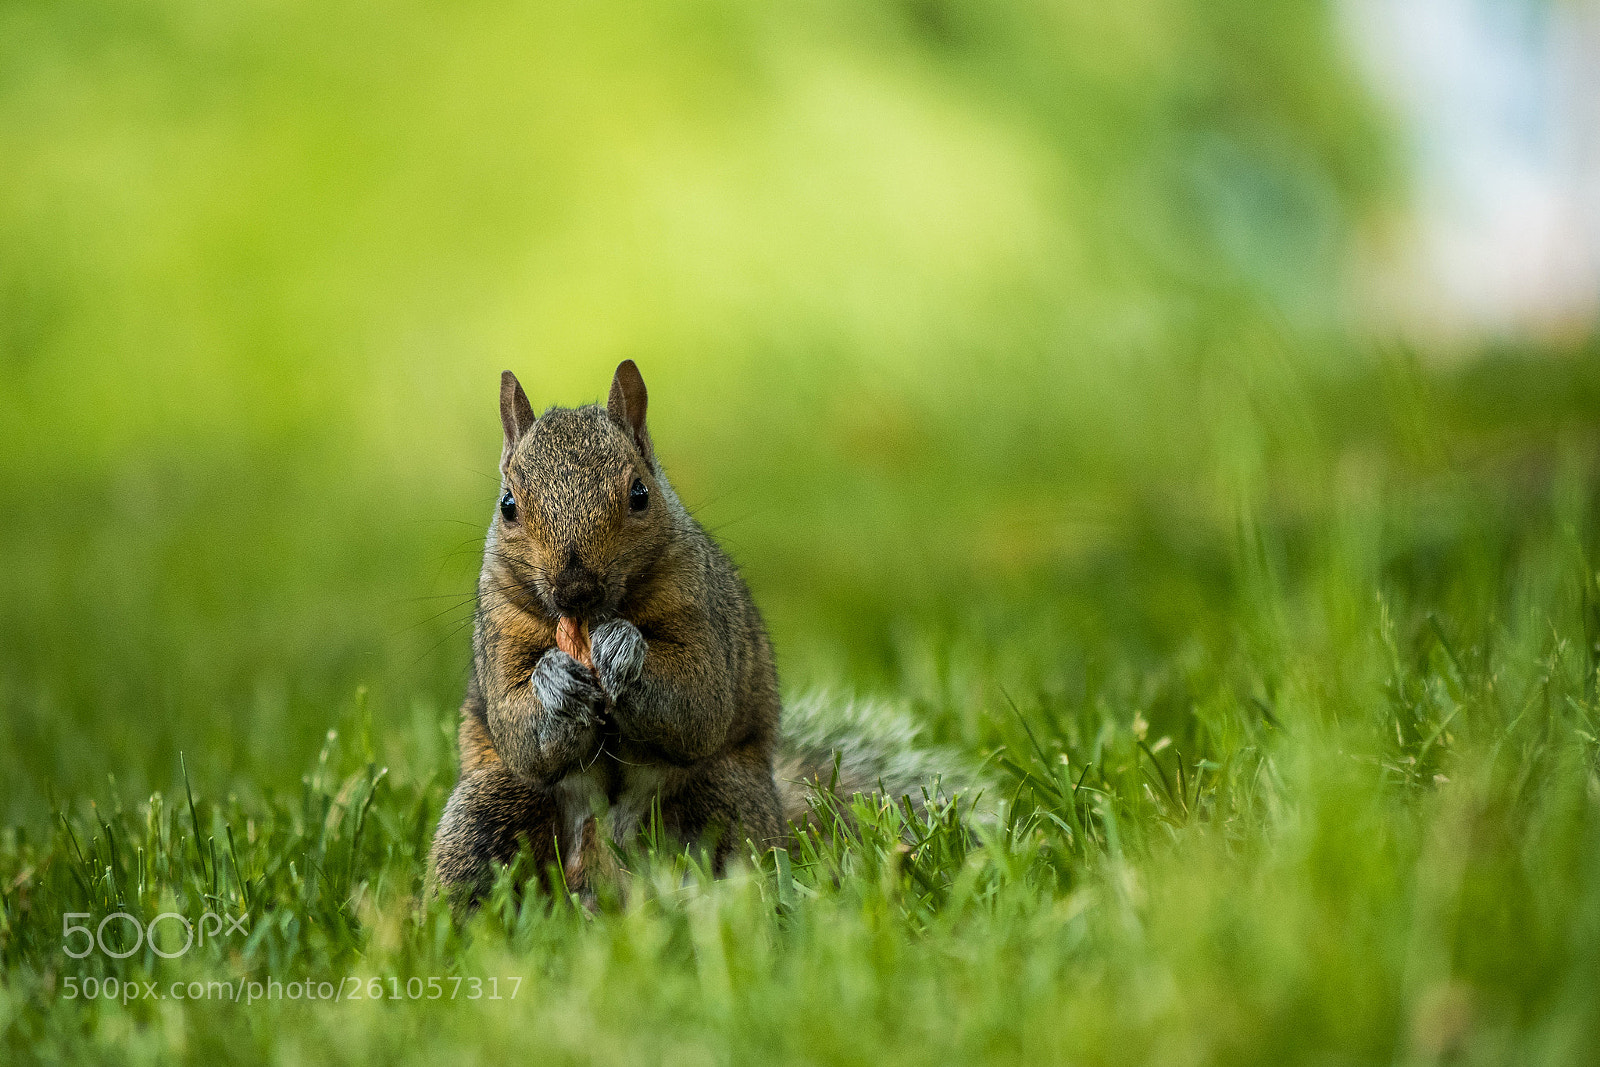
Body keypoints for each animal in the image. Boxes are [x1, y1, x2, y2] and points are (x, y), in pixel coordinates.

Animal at [429, 360, 951, 903]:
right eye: (508, 504)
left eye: (640, 494)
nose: (575, 589)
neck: (591, 621)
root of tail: (609, 875)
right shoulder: (500, 625)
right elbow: (517, 726)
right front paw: (553, 681)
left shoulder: (698, 605)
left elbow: (698, 700)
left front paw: (623, 650)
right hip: (488, 807)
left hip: (726, 795)